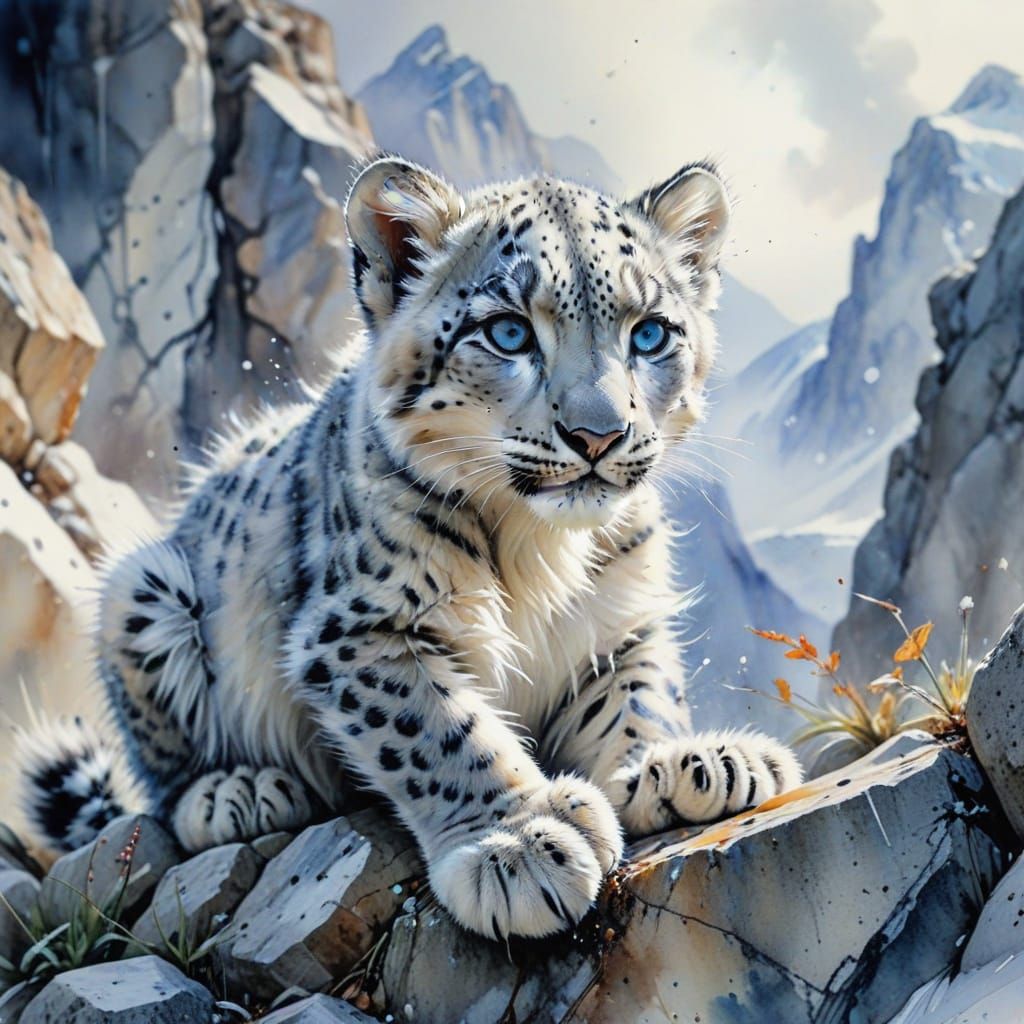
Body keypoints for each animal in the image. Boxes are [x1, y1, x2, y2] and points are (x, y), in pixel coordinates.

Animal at [18, 155, 802, 940]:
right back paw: (234, 791)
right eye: (508, 333)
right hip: (143, 590)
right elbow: (438, 731)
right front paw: (518, 843)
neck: (542, 551)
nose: (599, 435)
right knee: (162, 779)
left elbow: (639, 698)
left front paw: (684, 766)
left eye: (650, 334)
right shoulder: (363, 628)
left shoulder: (619, 622)